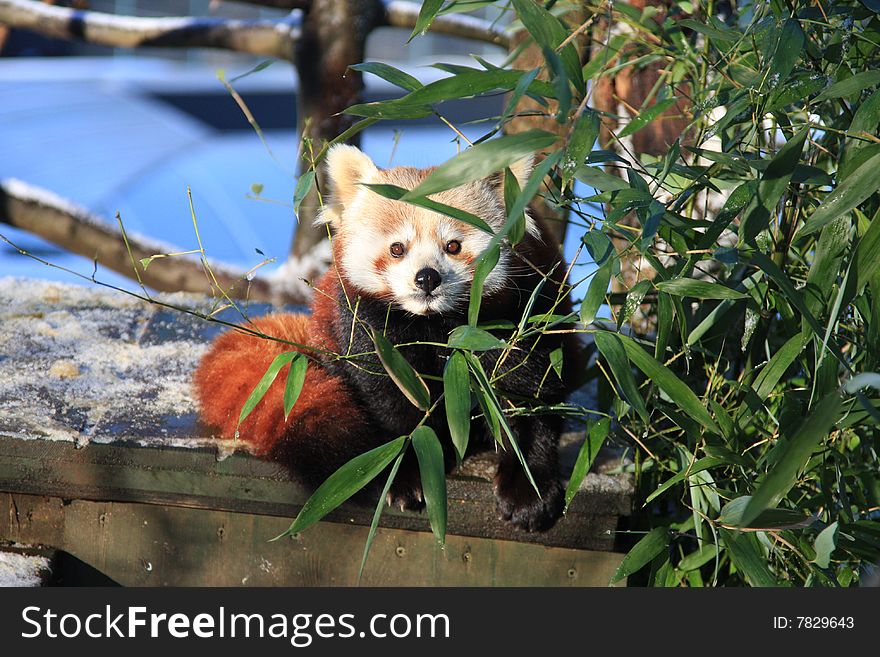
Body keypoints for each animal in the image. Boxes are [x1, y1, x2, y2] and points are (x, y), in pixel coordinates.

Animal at [193, 146, 580, 532]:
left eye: (453, 246)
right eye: (397, 248)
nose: (427, 278)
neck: (438, 323)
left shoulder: (523, 315)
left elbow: (531, 395)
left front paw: (529, 487)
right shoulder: (372, 326)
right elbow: (392, 402)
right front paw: (404, 470)